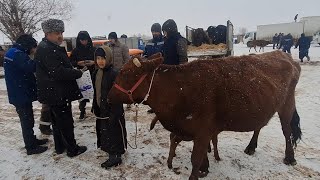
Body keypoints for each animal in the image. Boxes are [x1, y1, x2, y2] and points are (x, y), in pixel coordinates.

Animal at [109, 51, 302, 179]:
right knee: (260, 125)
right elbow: (201, 155)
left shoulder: (202, 131)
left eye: (124, 73)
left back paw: (290, 157)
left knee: (286, 131)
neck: (179, 90)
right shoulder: (197, 131)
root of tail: (284, 55)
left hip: (287, 104)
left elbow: (195, 159)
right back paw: (251, 147)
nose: (108, 97)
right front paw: (205, 168)